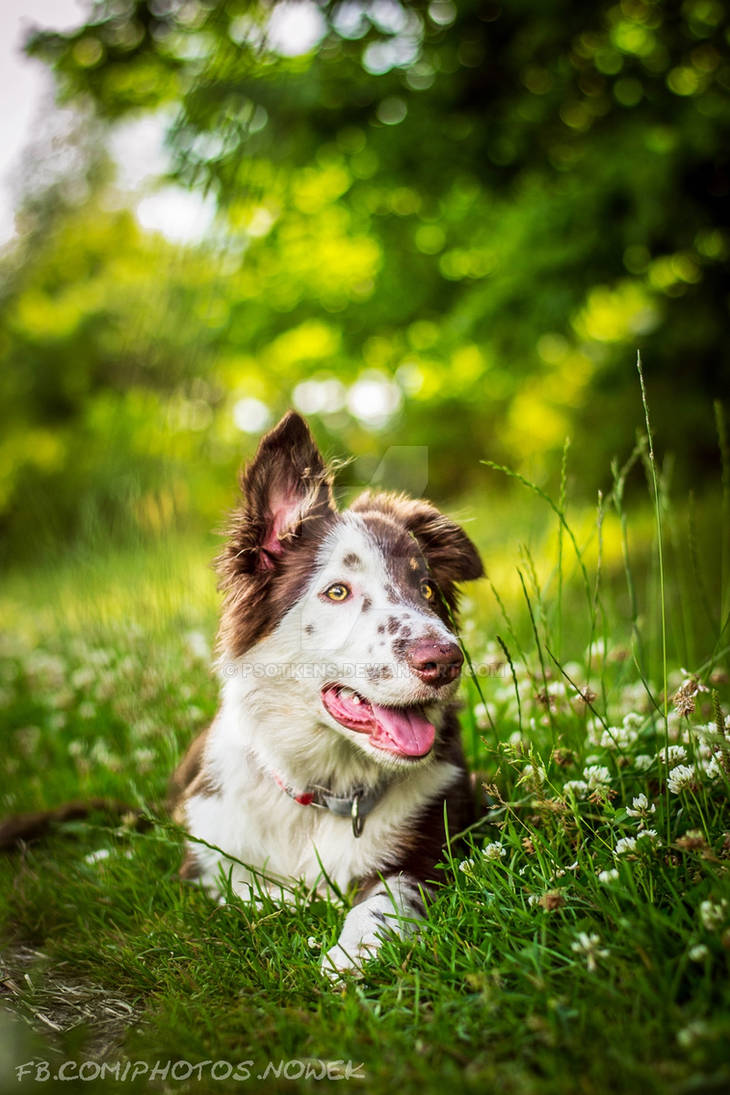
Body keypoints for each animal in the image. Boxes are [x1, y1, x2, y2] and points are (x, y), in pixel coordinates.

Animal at [168, 411, 481, 976]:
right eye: (337, 592)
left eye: (426, 589)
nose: (446, 661)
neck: (325, 793)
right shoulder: (203, 861)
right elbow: (248, 891)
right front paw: (295, 902)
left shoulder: (429, 843)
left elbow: (388, 893)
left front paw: (358, 948)